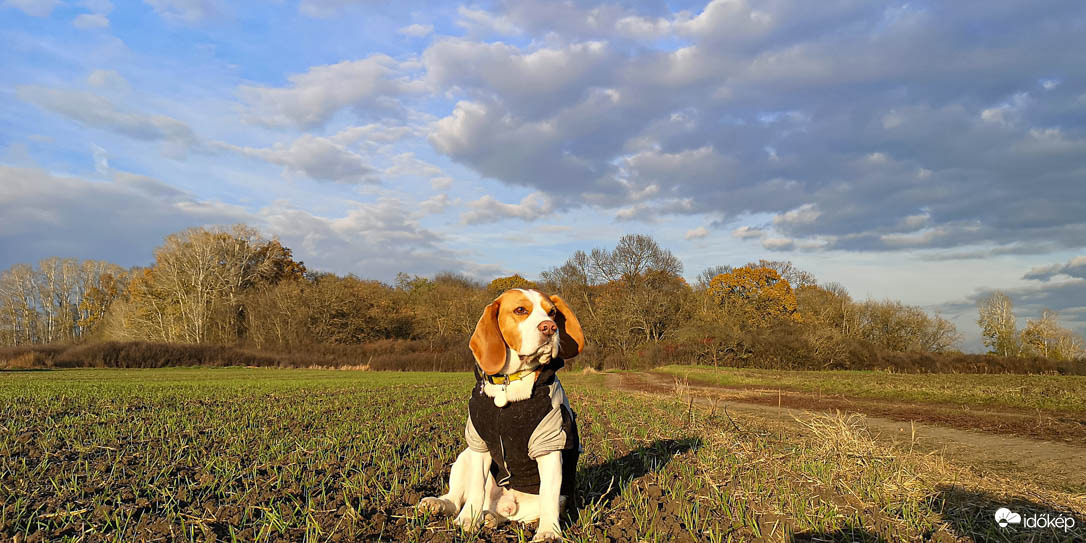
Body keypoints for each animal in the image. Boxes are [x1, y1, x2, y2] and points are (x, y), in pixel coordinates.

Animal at [417, 288, 586, 538]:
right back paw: (440, 505)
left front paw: (548, 533)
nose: (549, 327)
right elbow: (476, 488)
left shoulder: (549, 445)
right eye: (520, 310)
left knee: (514, 515)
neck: (510, 383)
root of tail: (505, 502)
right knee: (456, 499)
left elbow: (548, 495)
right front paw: (468, 520)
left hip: (551, 499)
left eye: (552, 312)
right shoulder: (479, 442)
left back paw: (491, 518)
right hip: (465, 455)